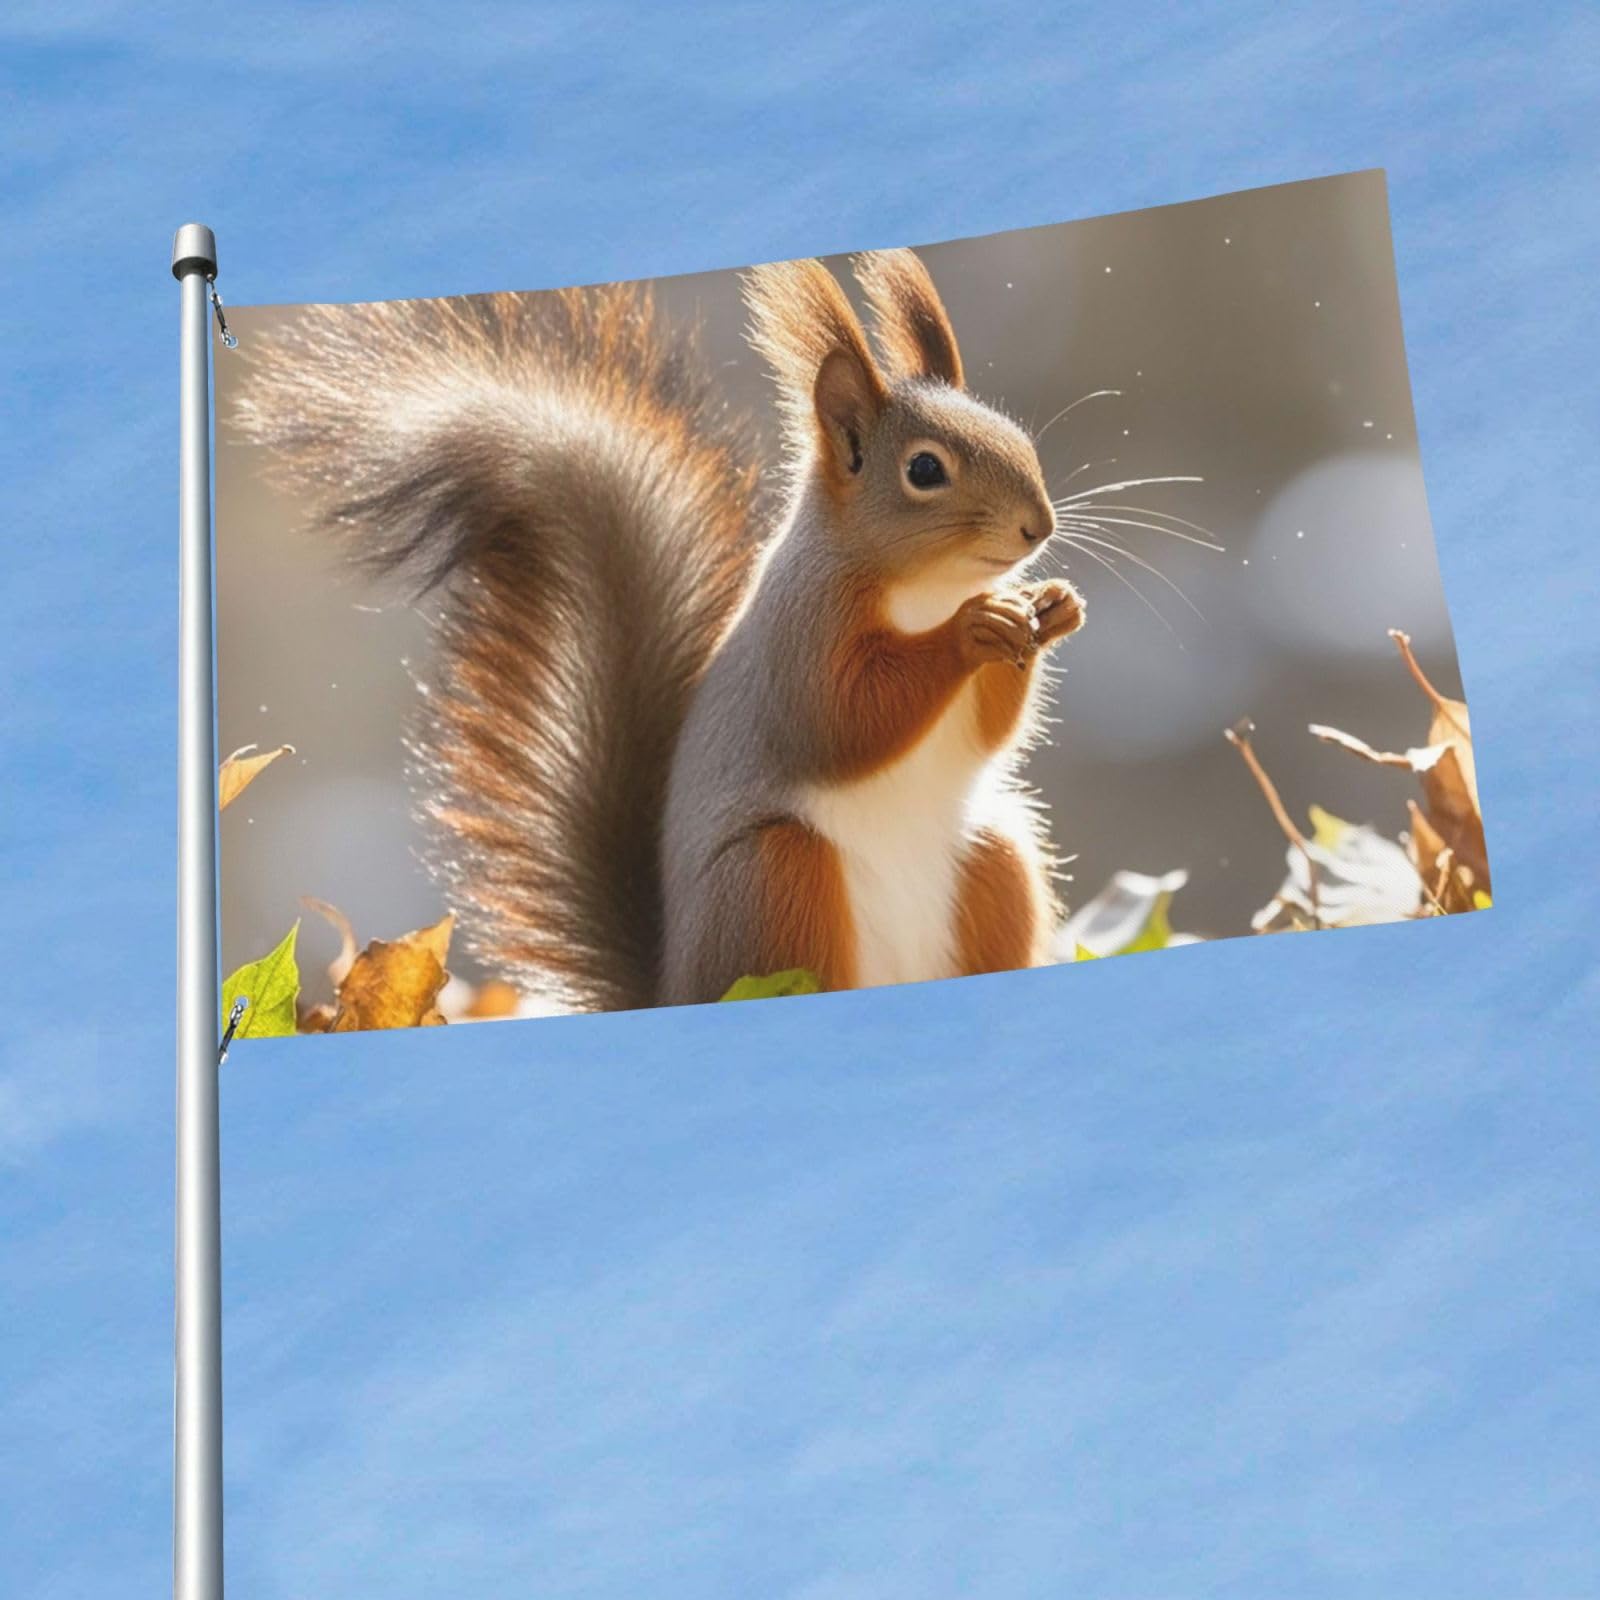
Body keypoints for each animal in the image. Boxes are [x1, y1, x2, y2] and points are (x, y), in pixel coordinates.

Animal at [232, 249, 1084, 1012]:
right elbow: (846, 719)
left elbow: (986, 732)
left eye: (1016, 435)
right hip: (775, 882)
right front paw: (973, 630)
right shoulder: (802, 632)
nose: (1037, 526)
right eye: (925, 470)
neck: (926, 591)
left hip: (994, 860)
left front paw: (1051, 609)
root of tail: (672, 990)